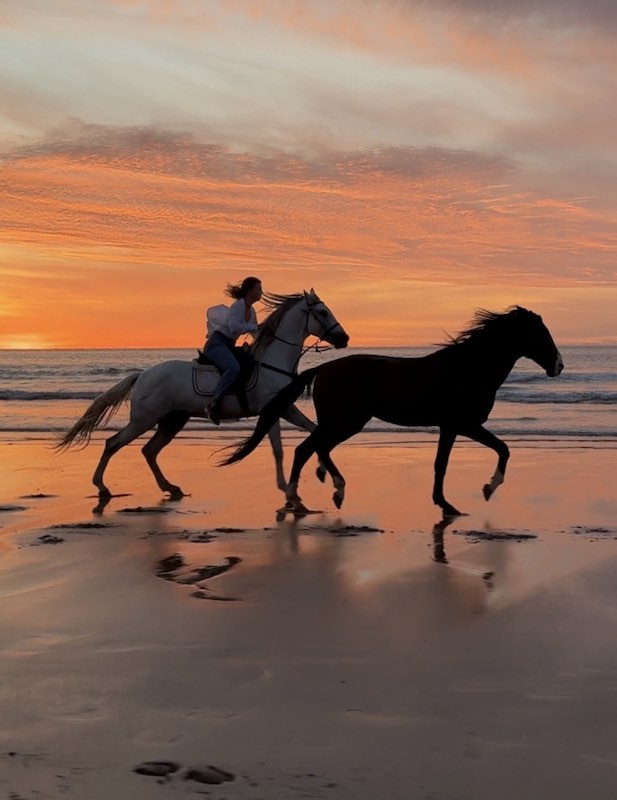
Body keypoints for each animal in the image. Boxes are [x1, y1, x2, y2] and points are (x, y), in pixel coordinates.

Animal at [56, 289, 349, 499]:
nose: (344, 338)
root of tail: (143, 375)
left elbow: (313, 430)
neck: (272, 362)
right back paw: (102, 487)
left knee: (149, 451)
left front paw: (328, 476)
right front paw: (288, 491)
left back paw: (170, 487)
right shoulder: (272, 412)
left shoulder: (286, 408)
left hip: (172, 421)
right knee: (114, 443)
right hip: (144, 420)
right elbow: (278, 450)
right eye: (323, 312)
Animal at [221, 306, 564, 517]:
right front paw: (485, 490)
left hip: (342, 422)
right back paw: (301, 497)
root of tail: (324, 368)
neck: (467, 370)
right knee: (308, 448)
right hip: (345, 421)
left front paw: (446, 503)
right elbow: (499, 450)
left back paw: (330, 492)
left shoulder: (451, 426)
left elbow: (447, 463)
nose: (558, 366)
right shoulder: (460, 424)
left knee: (317, 448)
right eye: (541, 334)